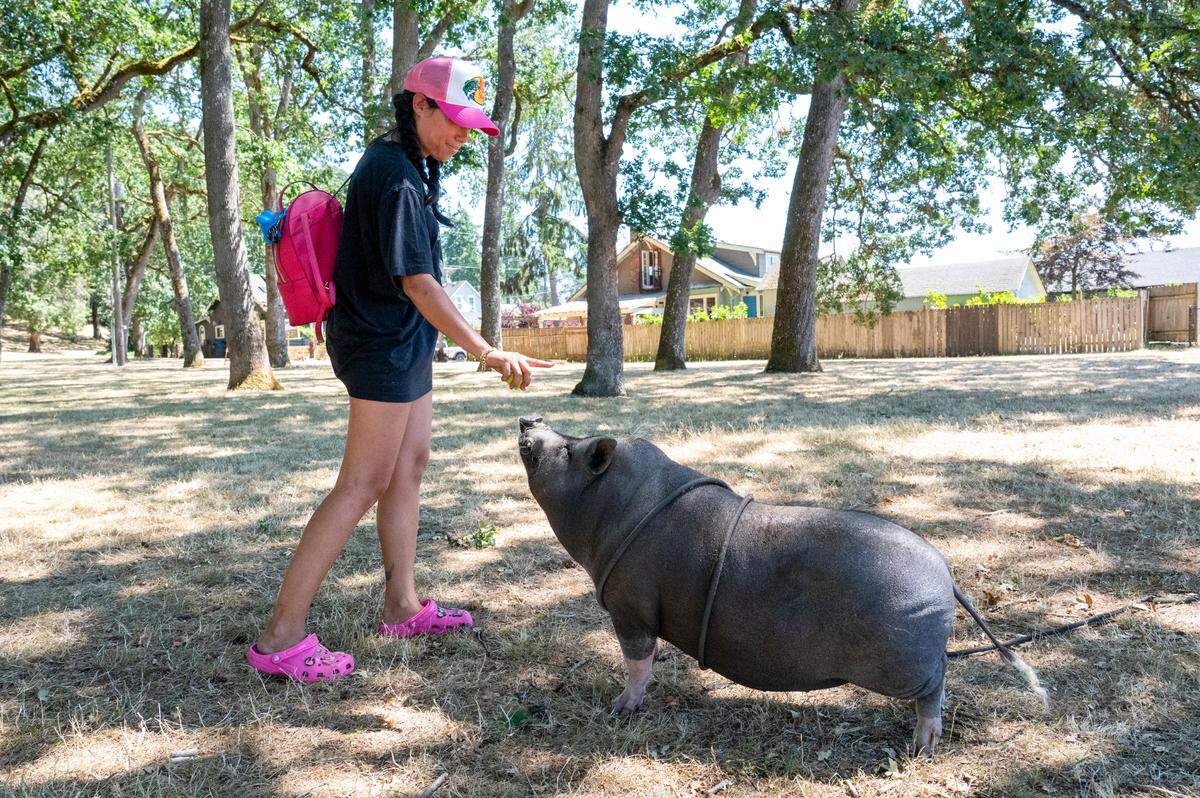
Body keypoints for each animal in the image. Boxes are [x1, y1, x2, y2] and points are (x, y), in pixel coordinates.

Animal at [517, 416, 1047, 753]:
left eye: (568, 450)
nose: (528, 420)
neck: (617, 507)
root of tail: (945, 574)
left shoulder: (630, 606)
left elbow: (638, 663)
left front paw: (619, 709)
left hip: (903, 664)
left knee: (937, 679)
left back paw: (924, 745)